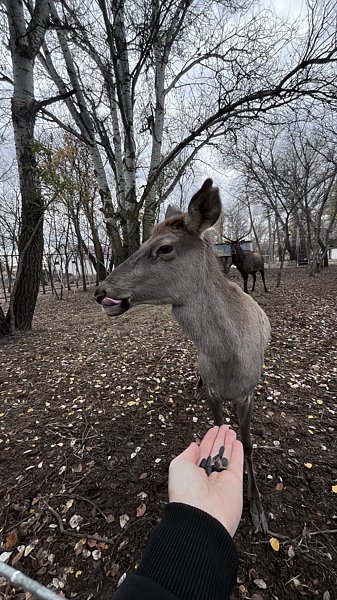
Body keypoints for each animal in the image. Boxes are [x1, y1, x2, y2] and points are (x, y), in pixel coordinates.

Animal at [94, 180, 270, 532]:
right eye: (144, 241)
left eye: (164, 248)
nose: (101, 291)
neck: (230, 361)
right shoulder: (216, 392)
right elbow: (219, 428)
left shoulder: (248, 393)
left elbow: (248, 444)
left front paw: (257, 509)